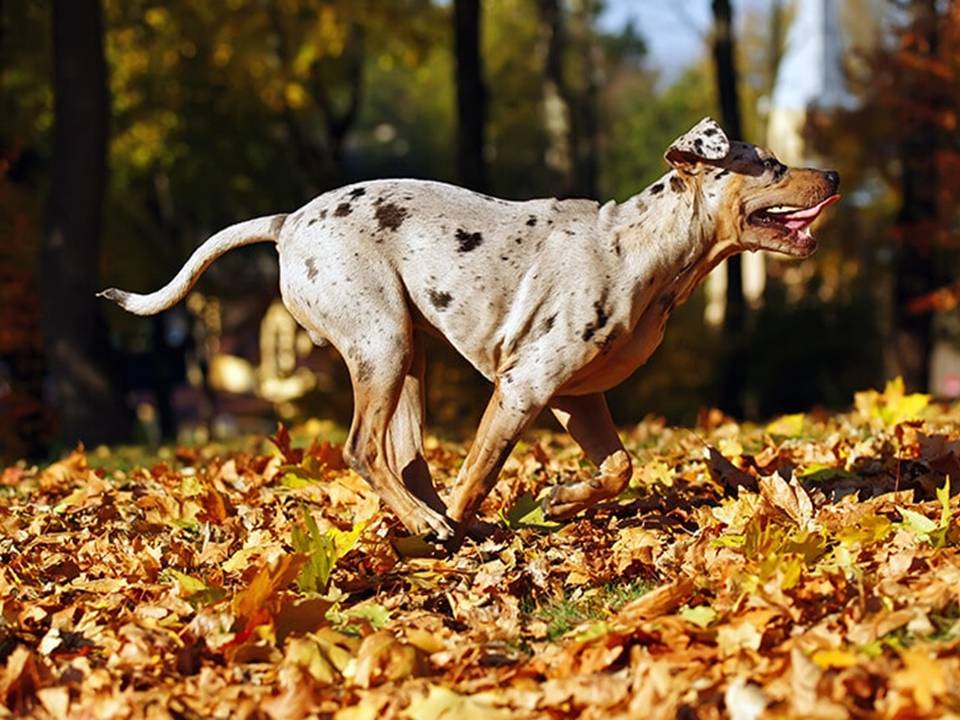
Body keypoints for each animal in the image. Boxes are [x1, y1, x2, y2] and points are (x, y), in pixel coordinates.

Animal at [97, 118, 836, 544]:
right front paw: (481, 523)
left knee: (404, 457)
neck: (639, 248)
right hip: (381, 342)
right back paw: (432, 524)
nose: (831, 171)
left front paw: (562, 502)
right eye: (771, 164)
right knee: (363, 450)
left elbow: (618, 467)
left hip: (409, 356)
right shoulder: (524, 388)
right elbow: (480, 471)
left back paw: (427, 522)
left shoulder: (576, 399)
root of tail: (288, 222)